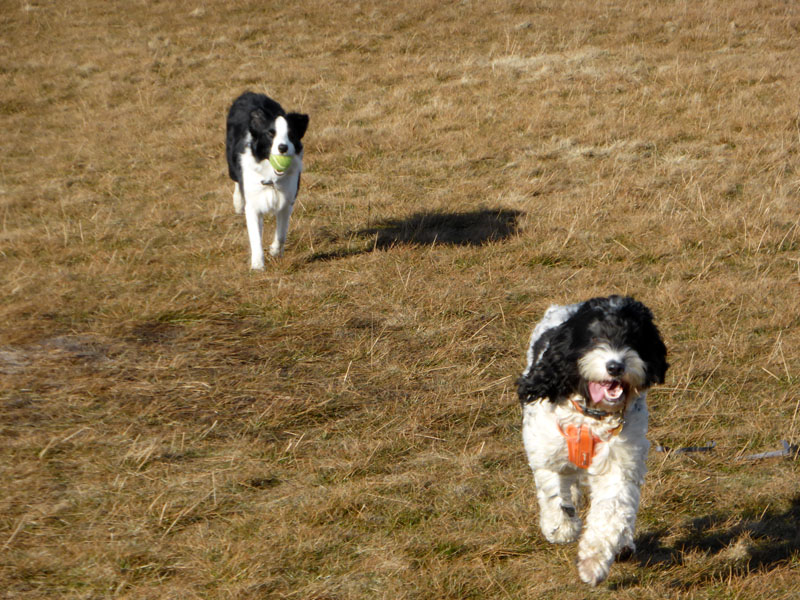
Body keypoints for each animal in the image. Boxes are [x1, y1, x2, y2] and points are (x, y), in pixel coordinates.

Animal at [228, 92, 312, 270]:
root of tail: (249, 93)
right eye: (270, 133)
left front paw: (275, 251)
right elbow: (255, 237)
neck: (272, 178)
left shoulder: (286, 202)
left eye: (291, 134)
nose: (282, 148)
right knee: (236, 182)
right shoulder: (253, 205)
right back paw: (238, 202)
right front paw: (258, 265)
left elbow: (281, 234)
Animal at [516, 296, 664, 584]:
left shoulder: (619, 462)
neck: (591, 415)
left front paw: (593, 561)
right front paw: (561, 528)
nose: (615, 366)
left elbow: (611, 510)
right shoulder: (547, 450)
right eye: (594, 338)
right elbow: (555, 494)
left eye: (633, 338)